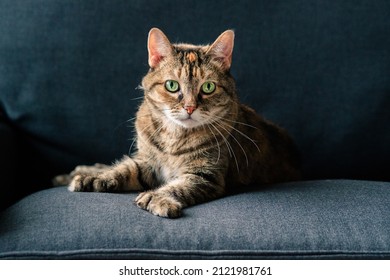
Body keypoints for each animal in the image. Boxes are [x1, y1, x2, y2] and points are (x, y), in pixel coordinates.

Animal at [54, 27, 300, 219]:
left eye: (208, 87)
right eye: (172, 85)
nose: (189, 107)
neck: (175, 136)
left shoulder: (205, 175)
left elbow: (178, 187)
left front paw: (157, 197)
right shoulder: (148, 162)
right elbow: (124, 170)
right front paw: (95, 178)